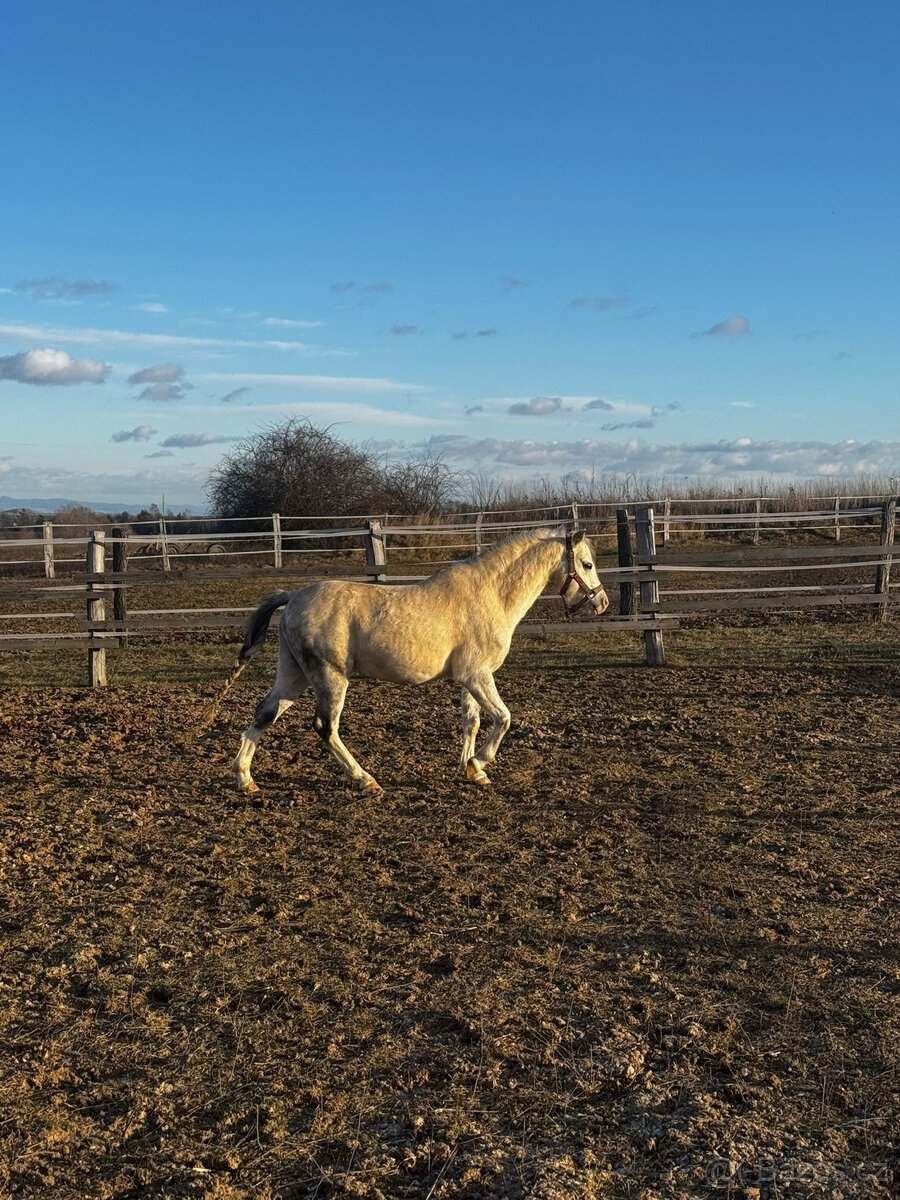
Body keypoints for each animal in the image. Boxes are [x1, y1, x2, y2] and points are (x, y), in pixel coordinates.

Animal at [223, 527, 608, 795]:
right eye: (587, 564)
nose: (602, 602)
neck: (490, 595)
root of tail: (293, 596)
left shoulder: (469, 679)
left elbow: (472, 722)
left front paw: (473, 771)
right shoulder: (477, 676)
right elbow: (503, 718)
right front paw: (479, 762)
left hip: (294, 676)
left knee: (264, 713)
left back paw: (245, 779)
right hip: (330, 677)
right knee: (325, 727)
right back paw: (365, 780)